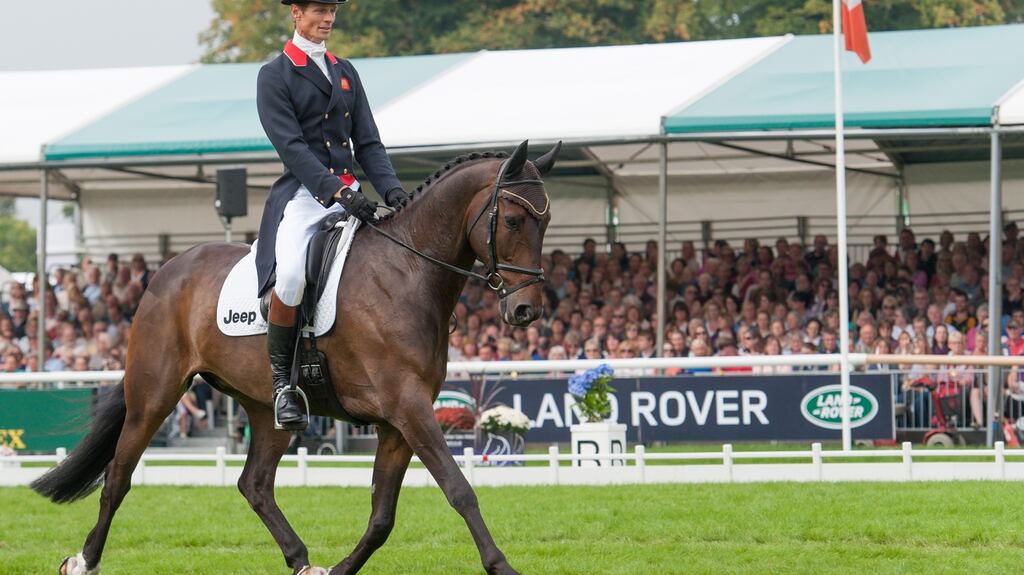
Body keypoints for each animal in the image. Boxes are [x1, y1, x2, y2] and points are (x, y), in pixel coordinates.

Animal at [31, 139, 559, 575]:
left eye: (547, 222)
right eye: (514, 220)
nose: (526, 310)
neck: (407, 271)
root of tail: (164, 272)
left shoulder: (397, 421)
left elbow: (382, 515)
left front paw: (342, 569)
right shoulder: (408, 407)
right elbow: (458, 488)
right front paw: (502, 567)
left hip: (267, 407)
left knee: (255, 484)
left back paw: (302, 560)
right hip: (154, 395)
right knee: (118, 477)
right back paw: (83, 561)